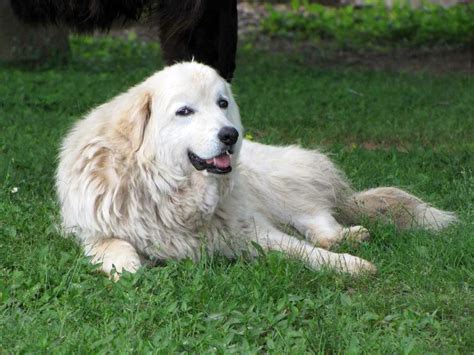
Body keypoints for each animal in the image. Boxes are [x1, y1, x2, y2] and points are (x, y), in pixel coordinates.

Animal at [54, 61, 456, 280]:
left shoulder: (250, 230)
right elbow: (115, 246)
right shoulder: (91, 230)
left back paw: (346, 237)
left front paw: (348, 266)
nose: (230, 135)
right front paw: (130, 269)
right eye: (185, 111)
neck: (168, 191)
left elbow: (305, 252)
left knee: (318, 218)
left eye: (222, 104)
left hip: (276, 186)